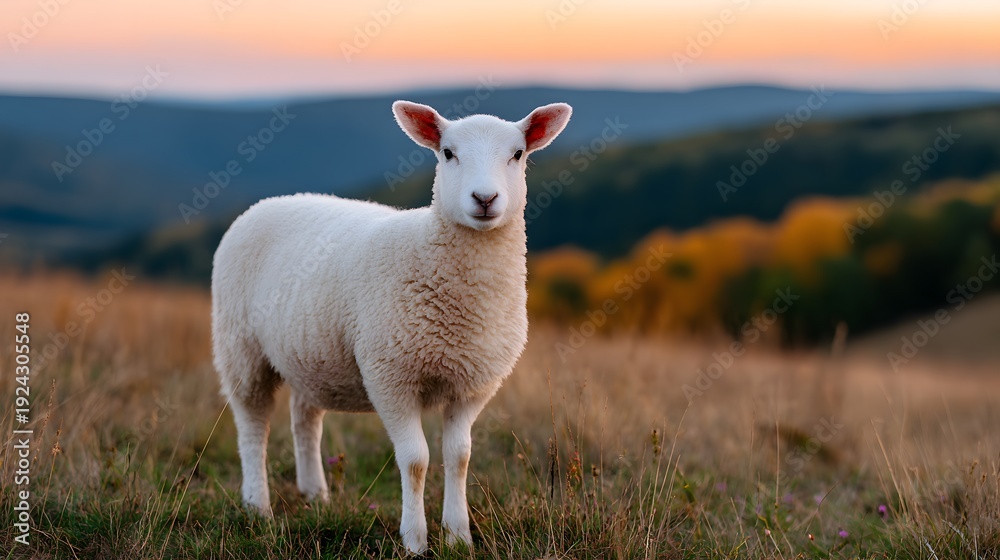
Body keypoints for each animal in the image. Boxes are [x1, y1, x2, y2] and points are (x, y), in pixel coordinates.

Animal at [211, 99, 572, 554]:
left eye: (518, 154)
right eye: (447, 153)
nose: (485, 198)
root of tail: (271, 202)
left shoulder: (472, 384)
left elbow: (459, 456)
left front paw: (458, 537)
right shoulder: (391, 376)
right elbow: (416, 460)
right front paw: (415, 540)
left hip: (311, 352)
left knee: (304, 418)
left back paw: (315, 494)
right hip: (240, 347)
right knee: (252, 426)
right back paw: (258, 506)